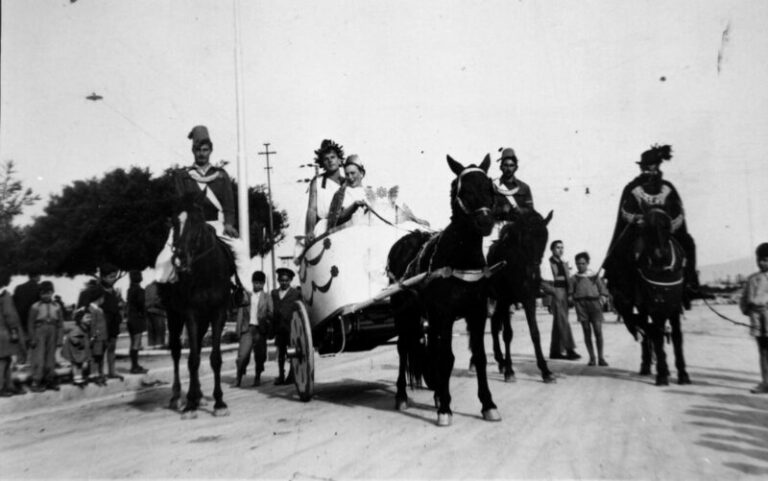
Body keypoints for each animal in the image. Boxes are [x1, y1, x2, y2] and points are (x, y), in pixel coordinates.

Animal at [159, 189, 234, 418]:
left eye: (195, 221)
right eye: (174, 221)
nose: (179, 258)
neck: (205, 273)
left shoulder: (218, 313)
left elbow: (214, 358)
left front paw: (219, 402)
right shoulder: (190, 314)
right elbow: (192, 359)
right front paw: (190, 404)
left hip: (202, 320)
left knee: (199, 348)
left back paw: (199, 394)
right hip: (174, 316)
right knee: (176, 351)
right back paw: (177, 396)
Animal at [390, 153, 498, 424]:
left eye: (489, 186)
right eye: (463, 190)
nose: (485, 221)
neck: (461, 259)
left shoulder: (476, 313)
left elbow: (479, 357)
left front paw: (488, 404)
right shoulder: (445, 314)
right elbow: (447, 358)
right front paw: (445, 409)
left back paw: (438, 393)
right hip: (404, 315)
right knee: (403, 347)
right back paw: (402, 395)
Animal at [488, 208, 556, 380]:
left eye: (544, 238)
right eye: (525, 240)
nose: (533, 272)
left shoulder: (528, 299)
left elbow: (535, 333)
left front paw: (545, 370)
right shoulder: (505, 300)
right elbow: (507, 334)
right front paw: (509, 371)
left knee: (494, 324)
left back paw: (500, 361)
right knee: (494, 325)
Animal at [628, 209, 688, 386]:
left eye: (666, 228)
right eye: (646, 229)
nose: (658, 254)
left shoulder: (674, 308)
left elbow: (677, 337)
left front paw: (683, 374)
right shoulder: (654, 308)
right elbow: (657, 337)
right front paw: (661, 375)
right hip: (643, 309)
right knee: (648, 334)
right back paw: (647, 366)